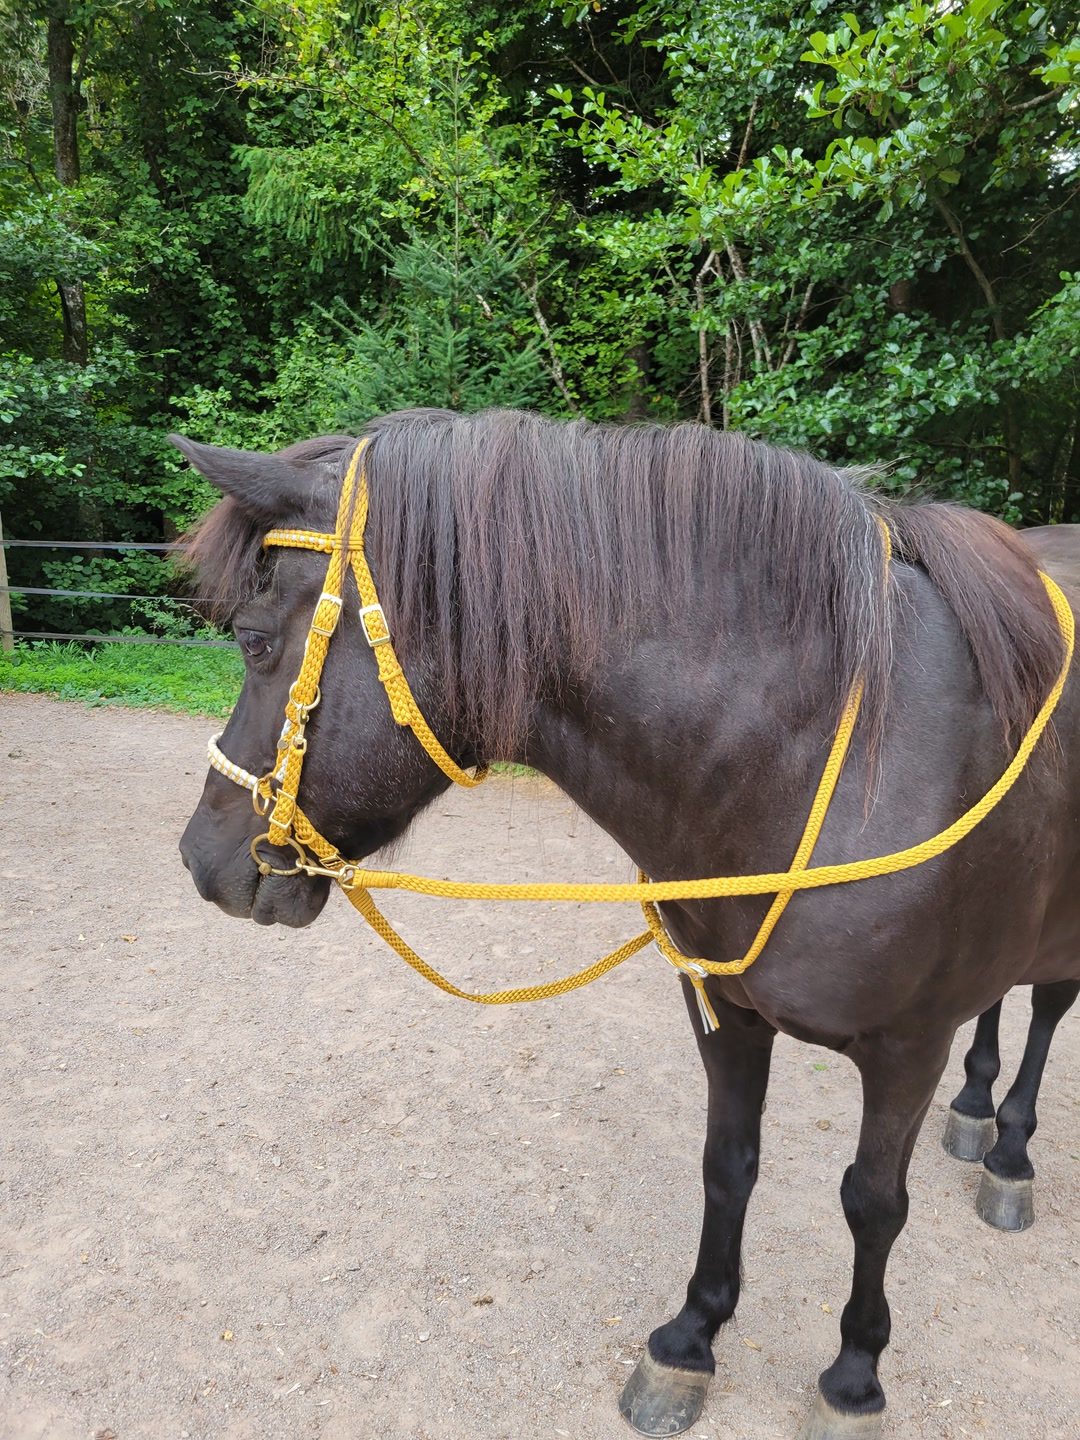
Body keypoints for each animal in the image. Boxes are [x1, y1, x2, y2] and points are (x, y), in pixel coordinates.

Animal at [174, 408, 1079, 1440]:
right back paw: (975, 1113)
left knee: (1048, 1006)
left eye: (252, 641)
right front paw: (690, 1340)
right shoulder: (726, 1011)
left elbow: (873, 1203)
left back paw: (1009, 1153)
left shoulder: (906, 1048)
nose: (200, 857)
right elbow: (728, 1164)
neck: (837, 762)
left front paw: (853, 1376)